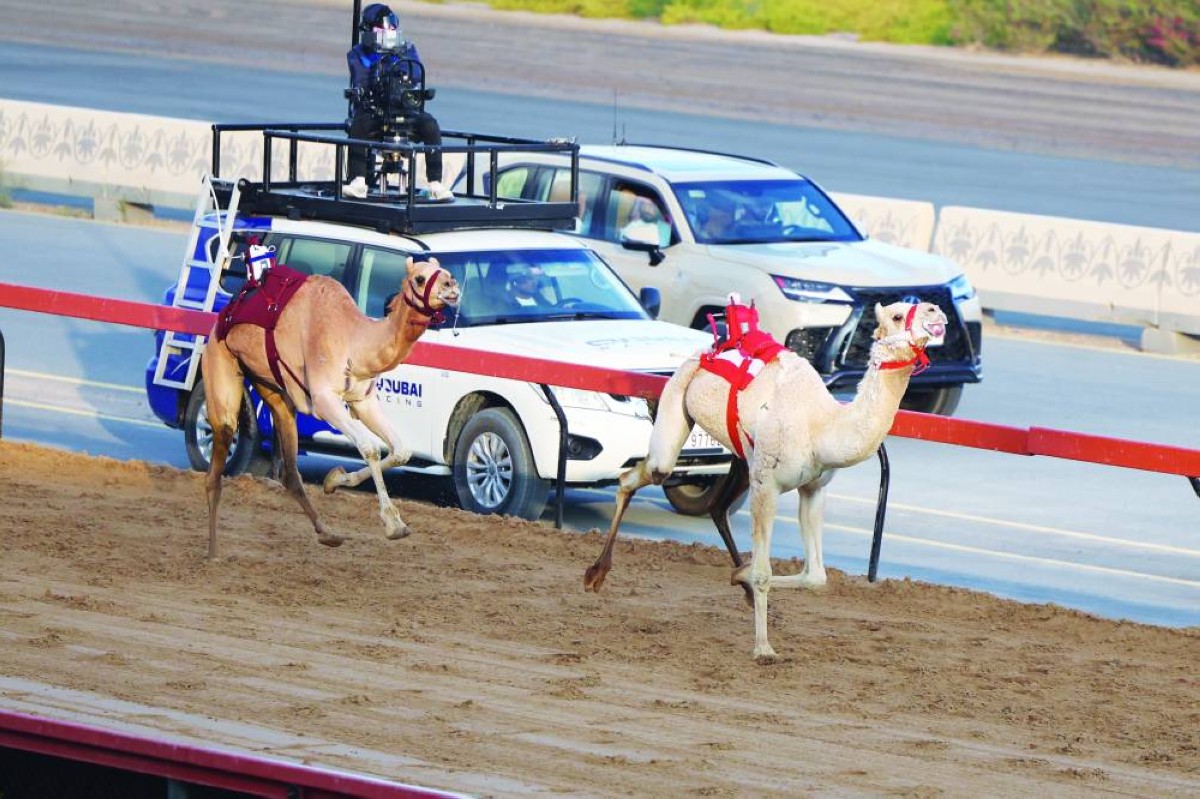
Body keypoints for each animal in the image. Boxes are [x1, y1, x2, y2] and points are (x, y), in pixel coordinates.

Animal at [199, 253, 460, 554]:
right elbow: (369, 448)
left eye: (447, 271)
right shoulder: (324, 400)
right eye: (419, 278)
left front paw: (335, 480)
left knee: (290, 471)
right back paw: (213, 552)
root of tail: (220, 319)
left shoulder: (363, 400)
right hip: (220, 365)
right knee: (216, 465)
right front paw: (393, 523)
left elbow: (401, 451)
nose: (452, 285)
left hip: (272, 389)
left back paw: (327, 533)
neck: (354, 342)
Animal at [583, 298, 945, 657]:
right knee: (640, 475)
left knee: (716, 508)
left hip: (742, 459)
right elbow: (763, 572)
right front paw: (763, 648)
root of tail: (710, 346)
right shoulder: (768, 486)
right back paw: (595, 574)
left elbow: (815, 576)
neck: (821, 425)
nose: (936, 313)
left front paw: (740, 576)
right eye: (897, 315)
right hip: (678, 403)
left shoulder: (813, 488)